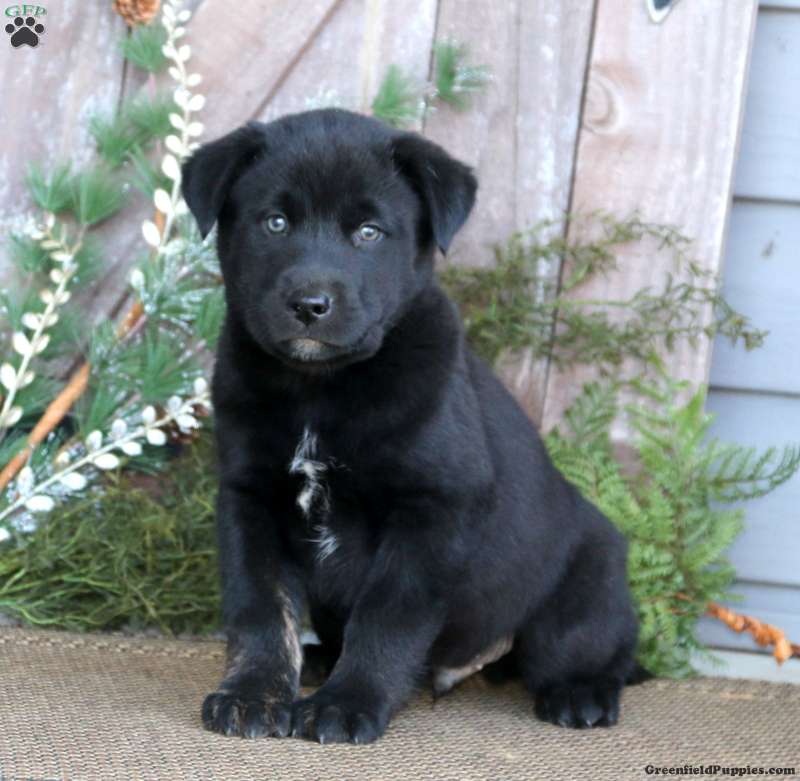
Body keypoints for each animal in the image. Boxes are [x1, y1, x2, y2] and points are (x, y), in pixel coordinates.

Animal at [183, 108, 636, 744]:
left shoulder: (433, 508)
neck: (320, 390)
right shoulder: (250, 498)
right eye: (274, 222)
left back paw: (582, 694)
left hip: (582, 593)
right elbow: (261, 609)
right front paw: (252, 693)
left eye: (370, 232)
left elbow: (386, 615)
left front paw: (347, 703)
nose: (309, 304)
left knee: (599, 654)